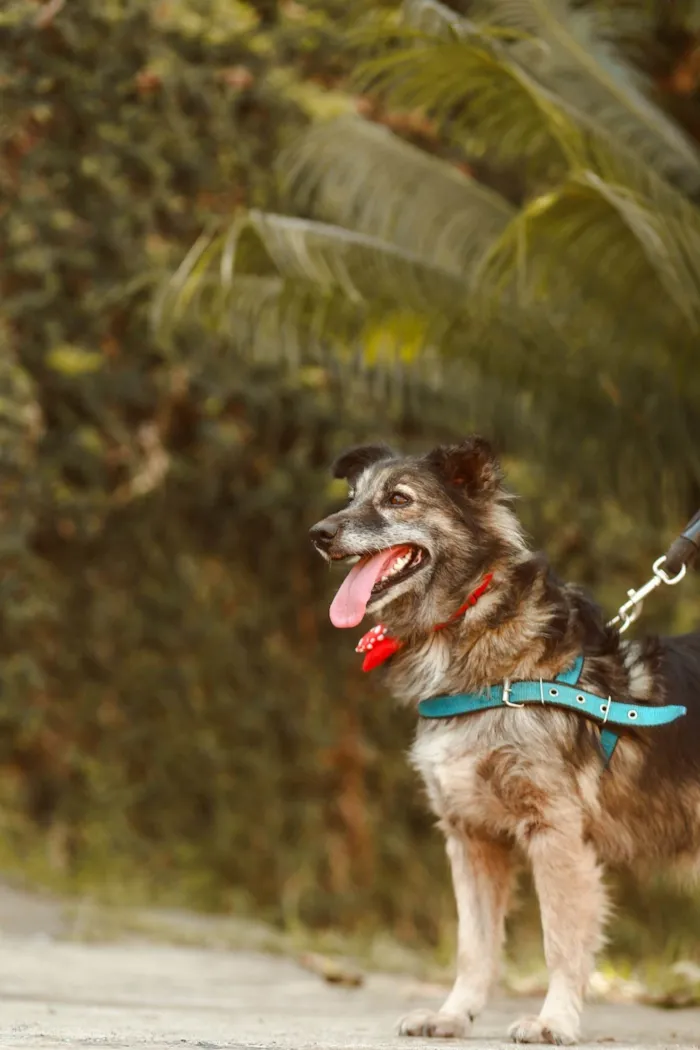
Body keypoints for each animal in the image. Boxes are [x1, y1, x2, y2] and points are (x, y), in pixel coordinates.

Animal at [310, 434, 700, 1041]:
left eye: (398, 499)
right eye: (351, 496)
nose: (320, 534)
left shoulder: (555, 830)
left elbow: (560, 940)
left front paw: (554, 1021)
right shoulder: (471, 835)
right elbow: (475, 945)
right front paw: (453, 1014)